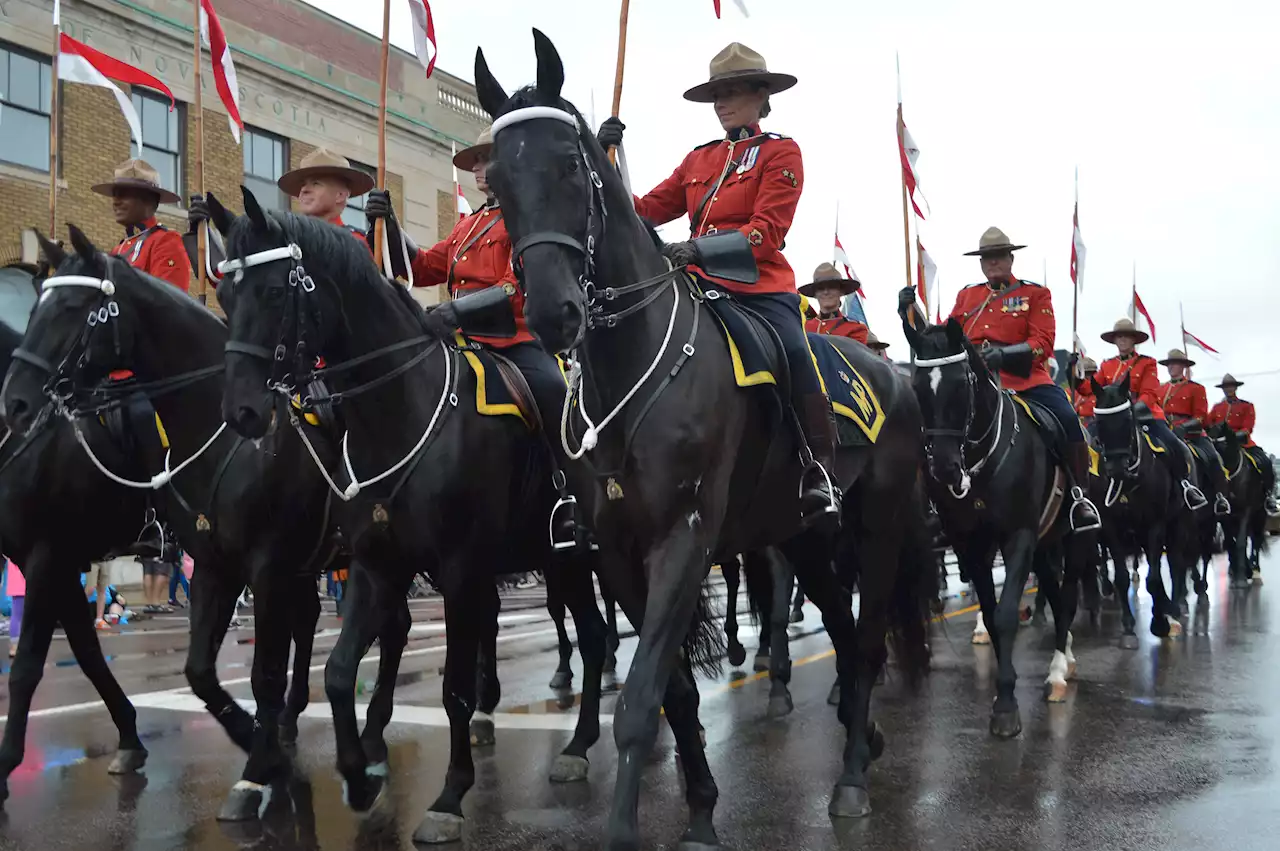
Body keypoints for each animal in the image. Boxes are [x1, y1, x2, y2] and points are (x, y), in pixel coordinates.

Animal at [0, 230, 337, 819]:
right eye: (35, 303)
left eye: (72, 308)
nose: (16, 403)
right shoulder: (60, 561)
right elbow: (91, 654)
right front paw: (132, 739)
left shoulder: (47, 556)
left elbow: (28, 670)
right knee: (308, 621)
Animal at [208, 188, 609, 844]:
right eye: (223, 296)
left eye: (270, 292)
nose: (240, 410)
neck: (399, 410)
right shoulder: (376, 568)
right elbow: (338, 671)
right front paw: (357, 774)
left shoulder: (460, 570)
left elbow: (453, 690)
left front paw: (449, 796)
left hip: (574, 559)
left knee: (599, 637)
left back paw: (581, 744)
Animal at [471, 29, 931, 844]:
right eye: (495, 178)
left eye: (569, 166)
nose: (554, 311)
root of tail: (895, 374)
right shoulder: (615, 549)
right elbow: (672, 691)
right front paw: (702, 810)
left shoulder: (683, 536)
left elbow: (638, 697)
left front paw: (629, 826)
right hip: (803, 534)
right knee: (844, 634)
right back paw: (864, 735)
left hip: (875, 527)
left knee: (871, 639)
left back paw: (850, 777)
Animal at [906, 319, 1085, 737]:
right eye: (918, 388)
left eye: (961, 385)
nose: (944, 469)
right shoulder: (971, 544)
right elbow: (989, 613)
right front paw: (1004, 691)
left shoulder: (1017, 537)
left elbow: (1004, 616)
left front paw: (1005, 705)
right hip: (1045, 543)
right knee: (1055, 594)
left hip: (1073, 539)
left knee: (1068, 597)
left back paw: (1057, 670)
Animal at [1208, 422, 1269, 588]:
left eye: (1223, 445)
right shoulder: (1224, 515)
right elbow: (1231, 542)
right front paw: (1237, 573)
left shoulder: (1246, 511)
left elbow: (1241, 542)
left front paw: (1242, 577)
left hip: (1260, 513)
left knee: (1256, 539)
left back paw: (1255, 569)